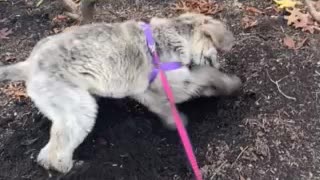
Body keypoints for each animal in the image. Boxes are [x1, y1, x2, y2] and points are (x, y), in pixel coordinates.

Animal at [0, 12, 240, 173]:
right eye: (215, 51)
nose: (219, 61)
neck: (170, 36)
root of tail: (28, 65)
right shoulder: (177, 81)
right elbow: (206, 76)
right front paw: (231, 83)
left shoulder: (146, 90)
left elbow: (163, 106)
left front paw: (175, 121)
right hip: (77, 108)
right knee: (54, 152)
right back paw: (72, 167)